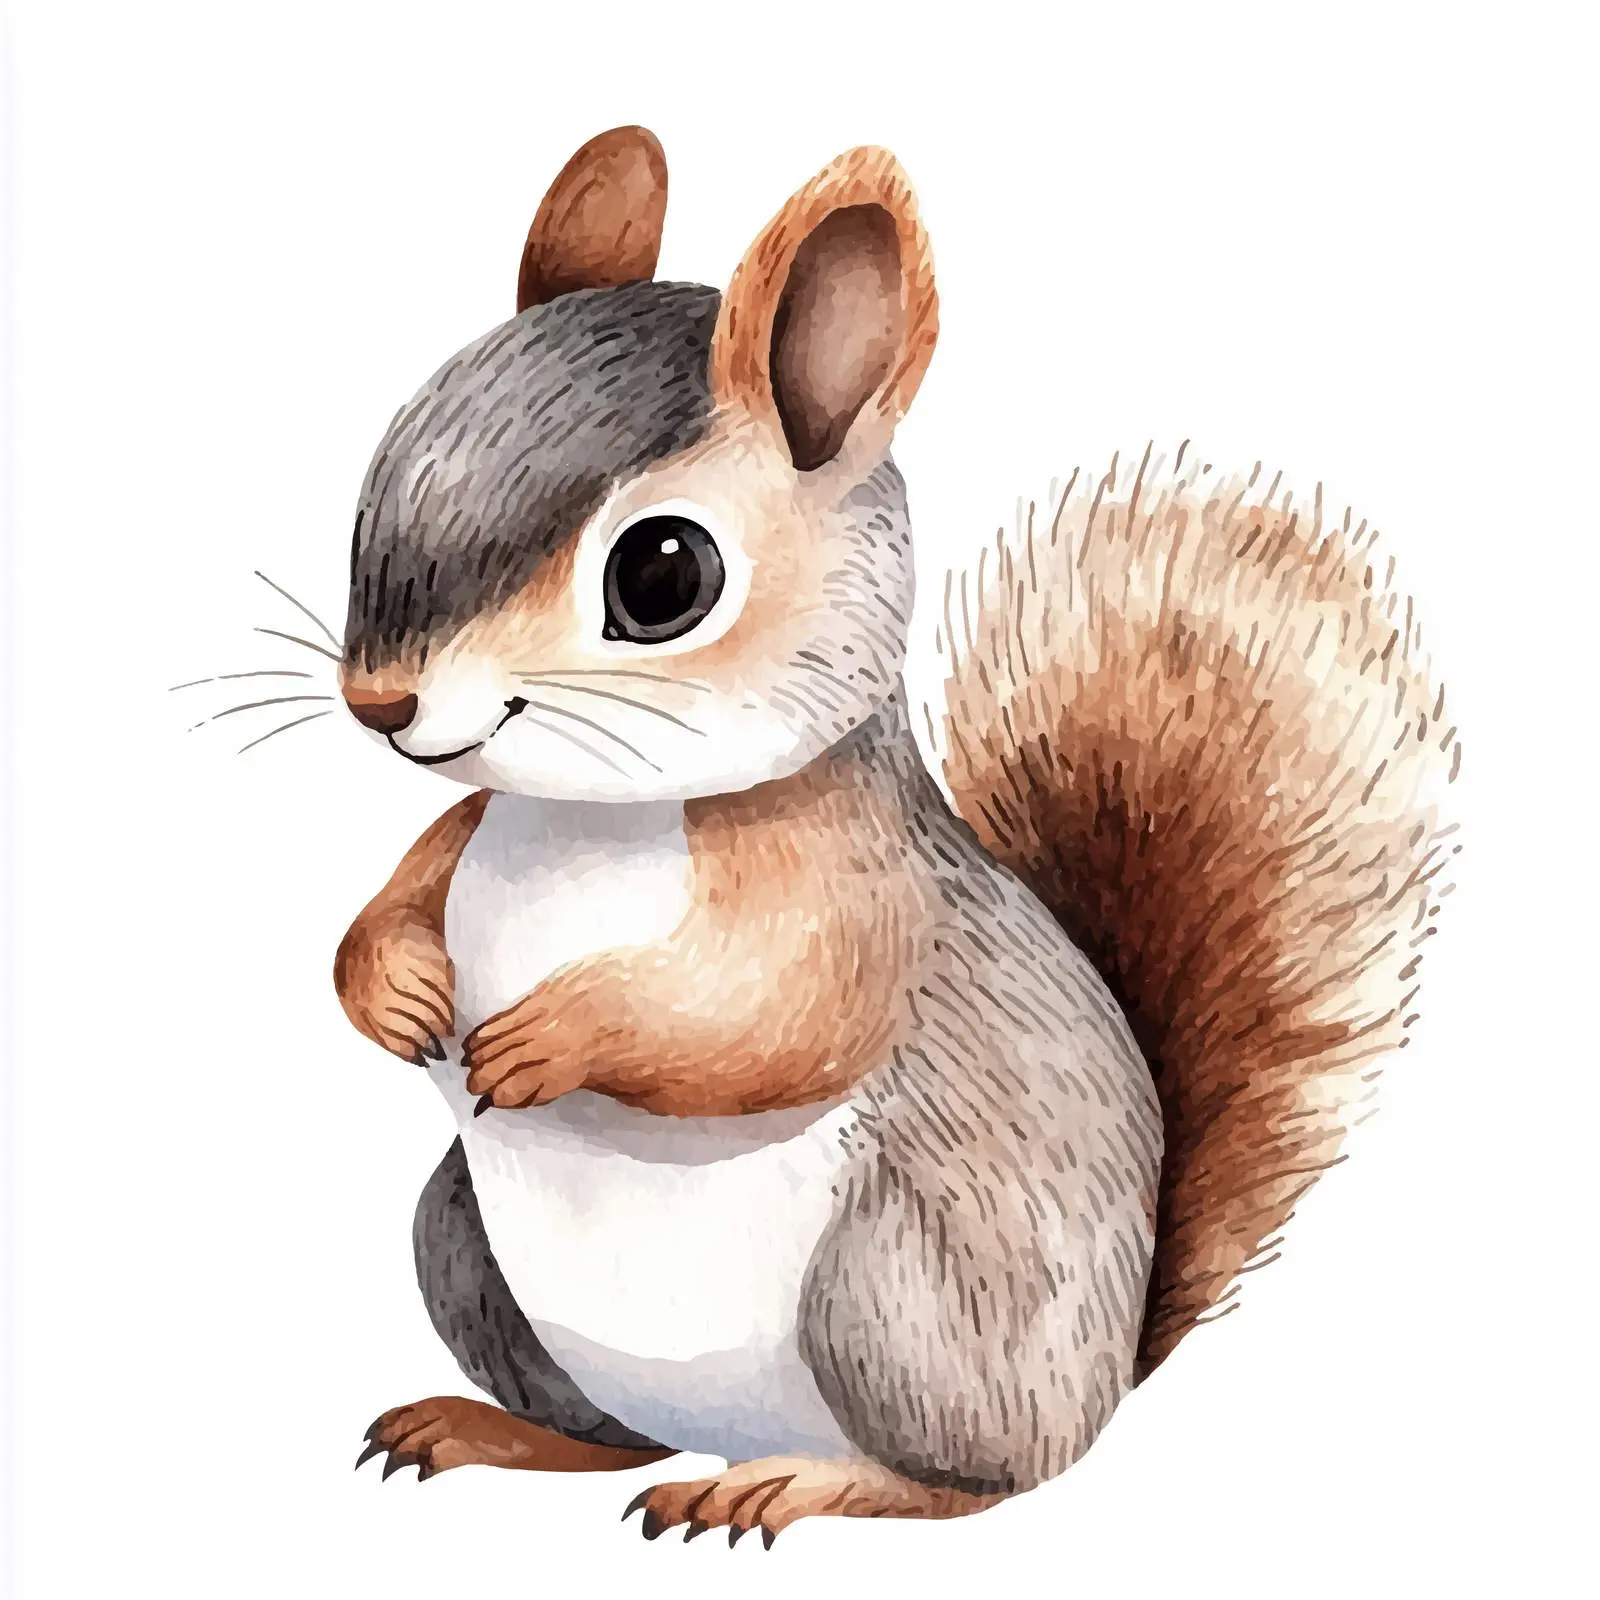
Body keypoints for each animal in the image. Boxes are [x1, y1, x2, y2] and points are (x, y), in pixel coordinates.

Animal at [331, 126, 1459, 1544]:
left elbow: (768, 1014)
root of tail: (1103, 1386)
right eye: (382, 465)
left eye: (661, 575)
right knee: (602, 1435)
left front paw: (551, 1038)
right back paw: (488, 1427)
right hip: (464, 1242)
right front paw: (395, 988)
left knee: (961, 1486)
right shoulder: (469, 820)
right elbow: (390, 899)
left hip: (895, 1297)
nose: (380, 703)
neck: (587, 815)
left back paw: (784, 1483)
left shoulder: (853, 899)